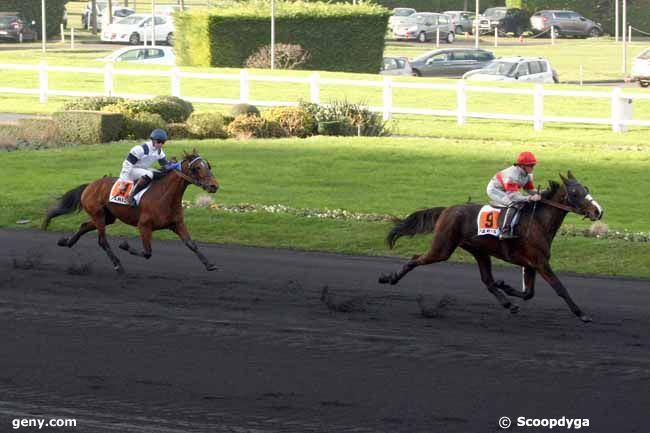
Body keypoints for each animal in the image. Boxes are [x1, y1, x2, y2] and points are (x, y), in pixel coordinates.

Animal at [43, 148, 220, 270]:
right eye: (197, 168)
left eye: (208, 165)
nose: (214, 186)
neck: (165, 196)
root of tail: (90, 185)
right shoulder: (144, 226)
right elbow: (147, 252)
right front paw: (124, 246)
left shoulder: (176, 223)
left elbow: (191, 244)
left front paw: (209, 264)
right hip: (98, 214)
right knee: (102, 241)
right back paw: (117, 264)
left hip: (107, 217)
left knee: (84, 226)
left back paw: (66, 242)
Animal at [380, 171, 604, 320]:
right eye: (575, 192)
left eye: (586, 189)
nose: (598, 211)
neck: (538, 221)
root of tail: (447, 209)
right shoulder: (540, 262)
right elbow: (559, 287)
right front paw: (581, 314)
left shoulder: (532, 263)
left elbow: (528, 293)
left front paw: (506, 286)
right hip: (442, 248)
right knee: (415, 259)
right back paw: (389, 278)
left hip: (479, 250)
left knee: (487, 280)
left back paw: (508, 303)